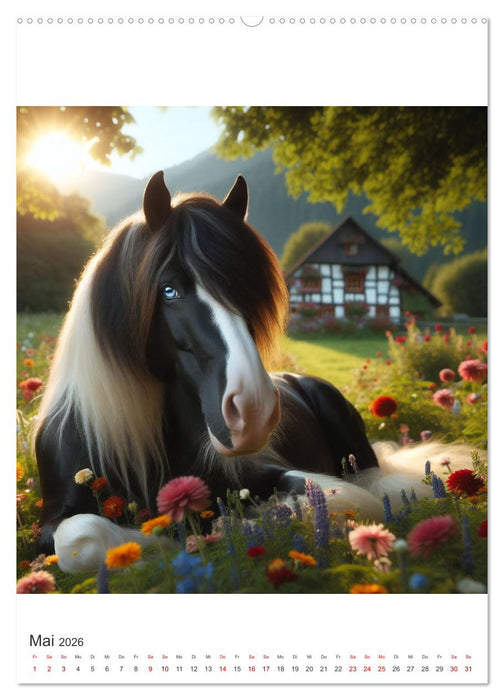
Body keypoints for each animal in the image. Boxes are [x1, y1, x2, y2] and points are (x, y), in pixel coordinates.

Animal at [32, 172, 472, 572]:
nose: (254, 411)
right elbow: (80, 538)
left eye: (247, 291)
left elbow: (326, 497)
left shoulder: (260, 474)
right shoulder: (51, 521)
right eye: (168, 290)